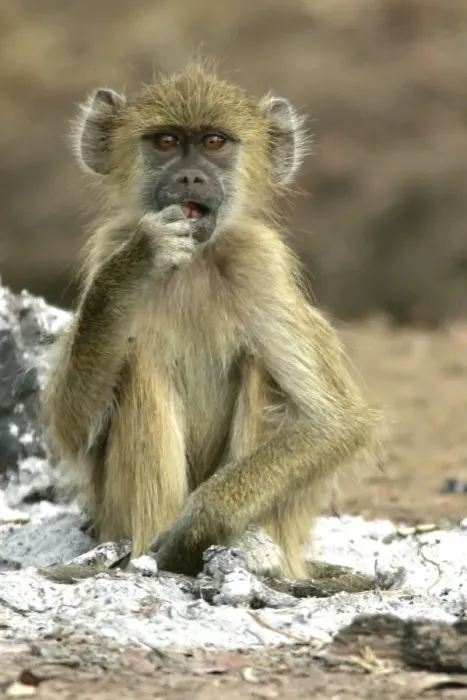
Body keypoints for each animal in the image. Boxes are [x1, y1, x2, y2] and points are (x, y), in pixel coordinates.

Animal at [40, 60, 380, 588]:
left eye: (215, 142)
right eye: (165, 141)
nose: (190, 177)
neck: (195, 261)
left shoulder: (260, 263)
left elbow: (334, 422)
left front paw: (200, 523)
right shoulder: (108, 246)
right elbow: (72, 428)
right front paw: (139, 261)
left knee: (259, 368)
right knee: (140, 364)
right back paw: (143, 559)